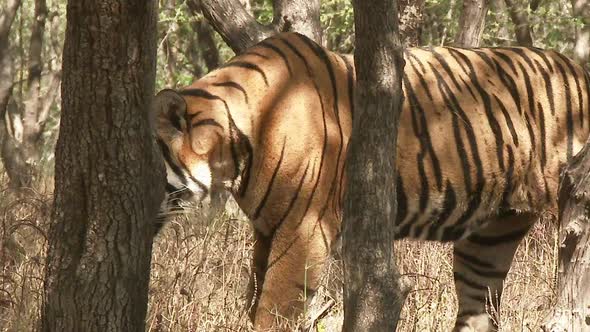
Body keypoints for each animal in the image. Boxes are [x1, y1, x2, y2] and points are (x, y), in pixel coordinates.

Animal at [151, 30, 590, 330]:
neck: (232, 153)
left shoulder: (301, 230)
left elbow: (272, 311)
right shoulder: (267, 230)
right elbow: (254, 298)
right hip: (490, 238)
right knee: (477, 310)